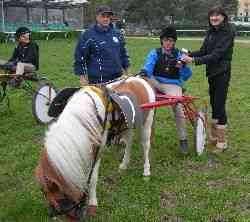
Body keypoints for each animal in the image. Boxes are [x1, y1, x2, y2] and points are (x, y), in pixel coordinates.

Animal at [35, 76, 155, 222]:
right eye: (43, 192)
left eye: (55, 193)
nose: (52, 214)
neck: (82, 118)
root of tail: (140, 79)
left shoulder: (97, 151)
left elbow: (92, 178)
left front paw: (92, 203)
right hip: (128, 126)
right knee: (129, 143)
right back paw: (124, 165)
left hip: (146, 124)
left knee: (146, 146)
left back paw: (146, 170)